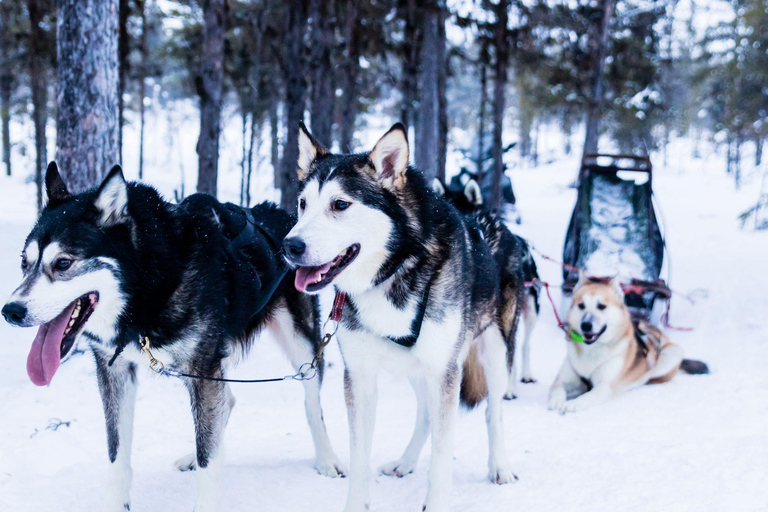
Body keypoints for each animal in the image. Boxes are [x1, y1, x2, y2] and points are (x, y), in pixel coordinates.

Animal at [0, 164, 342, 512]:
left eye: (63, 263)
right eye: (24, 263)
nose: (11, 311)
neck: (148, 289)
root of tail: (282, 216)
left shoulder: (202, 371)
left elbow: (209, 462)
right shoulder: (115, 370)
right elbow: (116, 451)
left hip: (300, 345)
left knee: (311, 403)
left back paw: (327, 459)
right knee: (225, 405)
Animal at [544, 274, 708, 414]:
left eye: (601, 306)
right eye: (581, 305)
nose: (586, 325)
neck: (590, 352)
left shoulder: (604, 387)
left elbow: (586, 396)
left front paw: (573, 403)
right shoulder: (562, 380)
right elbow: (557, 389)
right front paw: (557, 401)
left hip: (671, 354)